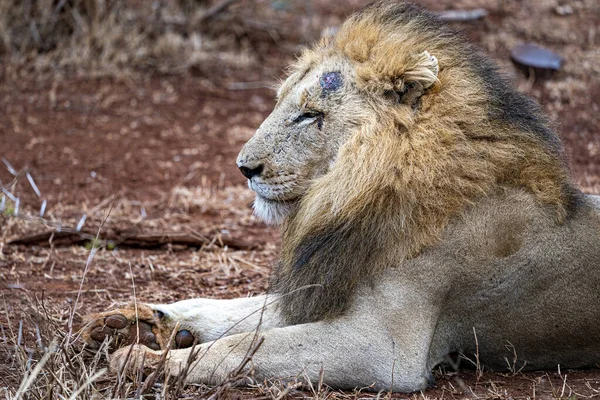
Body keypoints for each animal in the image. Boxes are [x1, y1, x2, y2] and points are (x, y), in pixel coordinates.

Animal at [81, 0, 600, 394]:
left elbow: (242, 345)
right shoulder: (324, 287)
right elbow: (231, 310)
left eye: (310, 115)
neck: (356, 195)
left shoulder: (384, 347)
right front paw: (134, 322)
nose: (244, 168)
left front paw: (146, 360)